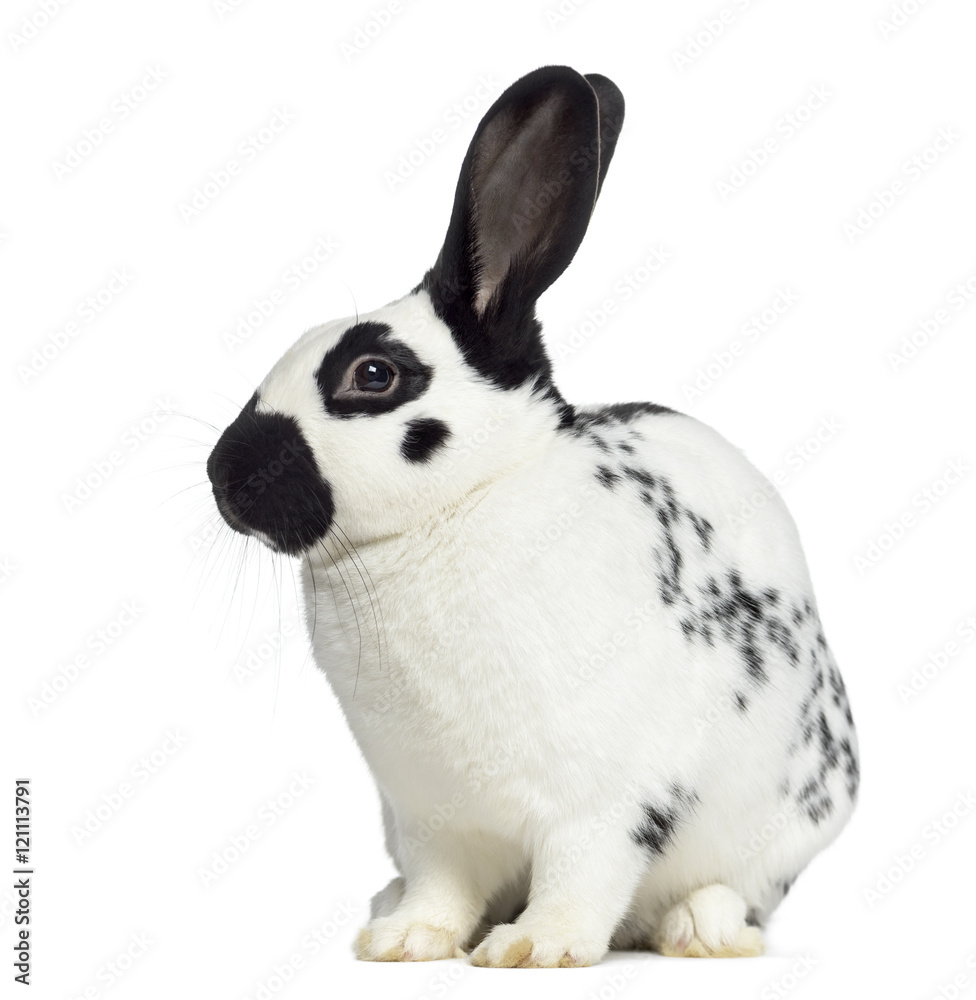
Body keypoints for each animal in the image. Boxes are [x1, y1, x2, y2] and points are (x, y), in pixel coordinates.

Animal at [206, 65, 858, 967]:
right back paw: (389, 906)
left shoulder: (606, 803)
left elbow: (581, 874)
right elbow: (443, 883)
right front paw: (408, 942)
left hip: (785, 824)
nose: (223, 478)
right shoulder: (429, 815)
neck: (463, 503)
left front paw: (536, 950)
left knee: (740, 887)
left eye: (373, 374)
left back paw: (700, 932)